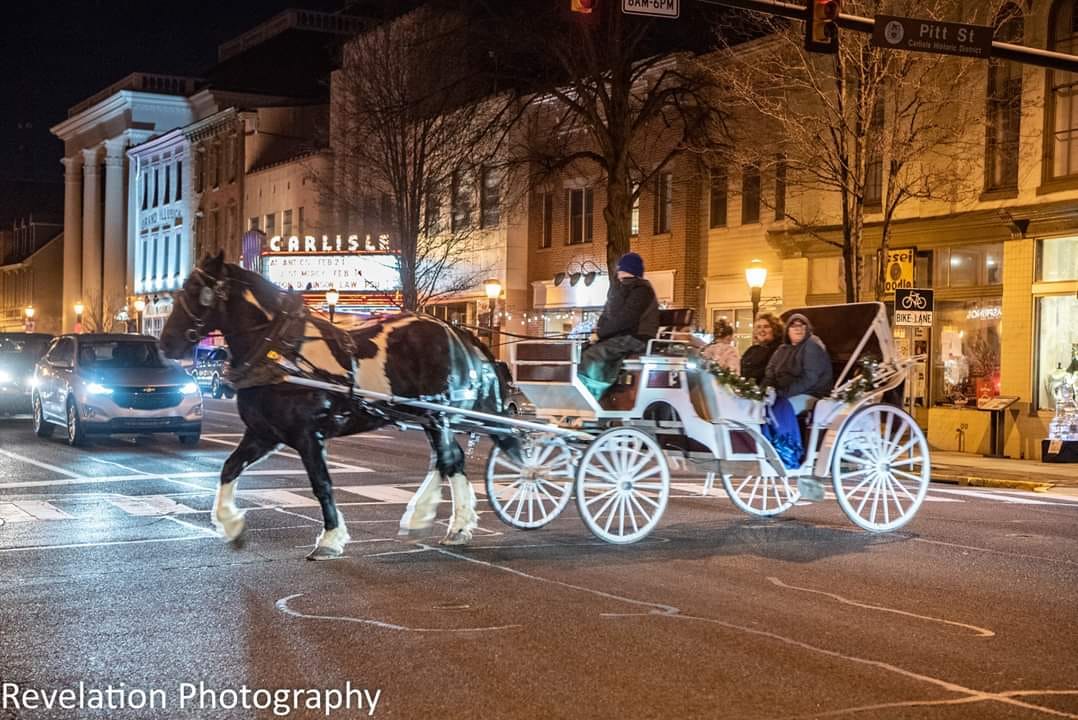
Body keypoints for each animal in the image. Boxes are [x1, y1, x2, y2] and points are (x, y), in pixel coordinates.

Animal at [157, 252, 519, 556]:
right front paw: (230, 524)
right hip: (429, 417)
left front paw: (329, 539)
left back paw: (456, 523)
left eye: (196, 291)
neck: (278, 350)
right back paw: (427, 517)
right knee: (448, 460)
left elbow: (322, 484)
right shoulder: (264, 434)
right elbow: (229, 468)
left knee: (452, 459)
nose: (165, 343)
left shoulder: (308, 435)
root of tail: (456, 332)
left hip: (439, 412)